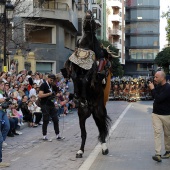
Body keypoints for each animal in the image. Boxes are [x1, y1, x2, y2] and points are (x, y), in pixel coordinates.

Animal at [61, 10, 111, 158]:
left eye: (93, 19)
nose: (89, 12)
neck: (85, 46)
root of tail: (91, 109)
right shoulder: (74, 67)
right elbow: (75, 76)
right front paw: (78, 94)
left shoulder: (92, 70)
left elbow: (87, 77)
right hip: (82, 115)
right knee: (84, 133)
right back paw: (80, 151)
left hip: (99, 113)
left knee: (102, 130)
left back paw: (104, 148)